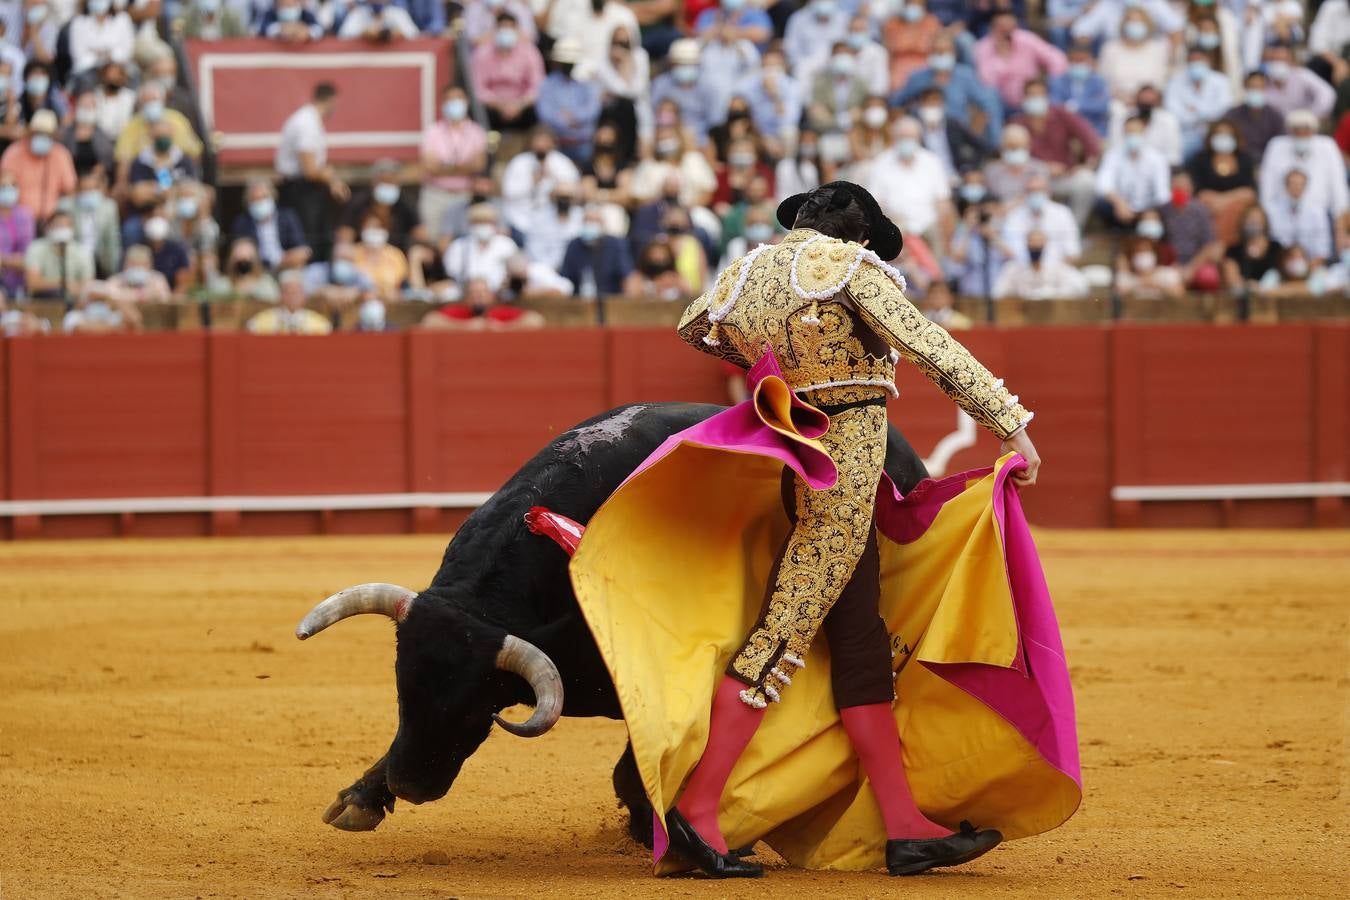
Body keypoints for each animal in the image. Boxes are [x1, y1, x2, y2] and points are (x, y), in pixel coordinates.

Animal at [295, 402, 928, 847]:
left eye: (477, 705)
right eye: (401, 691)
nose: (408, 785)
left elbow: (640, 762)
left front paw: (661, 827)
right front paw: (360, 797)